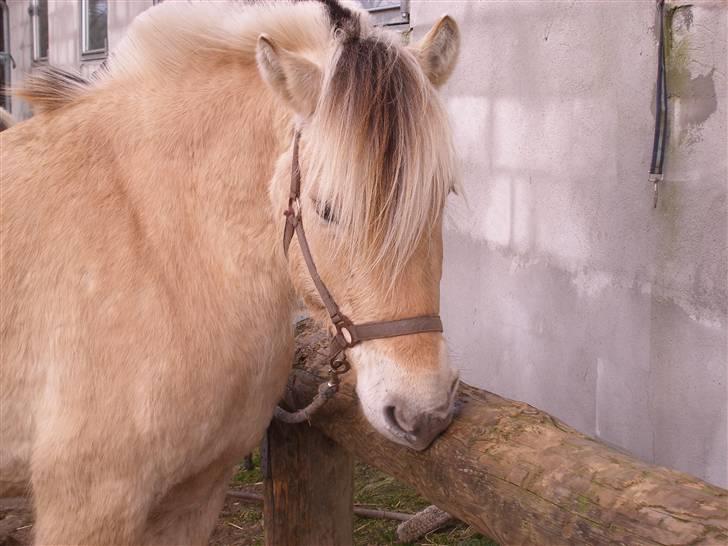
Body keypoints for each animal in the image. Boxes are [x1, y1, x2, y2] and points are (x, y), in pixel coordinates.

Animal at [1, 1, 460, 540]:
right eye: (327, 209)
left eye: (443, 194)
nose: (423, 412)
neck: (157, 249)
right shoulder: (87, 510)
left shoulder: (195, 498)